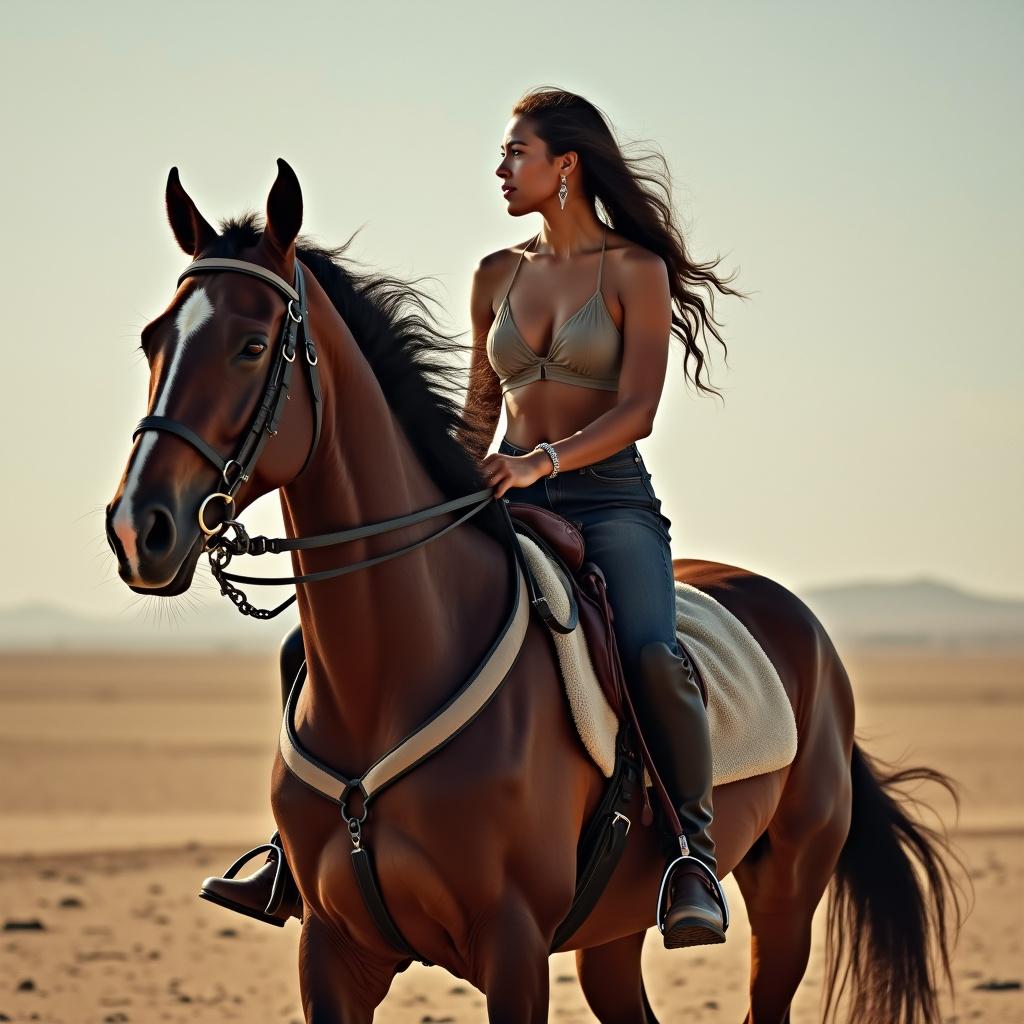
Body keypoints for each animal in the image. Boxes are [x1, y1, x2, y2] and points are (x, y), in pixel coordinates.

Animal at [108, 155, 962, 1019]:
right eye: (152, 341)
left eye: (252, 345)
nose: (139, 528)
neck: (391, 678)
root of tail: (802, 622)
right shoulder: (332, 949)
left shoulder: (512, 946)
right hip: (616, 929)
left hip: (787, 893)